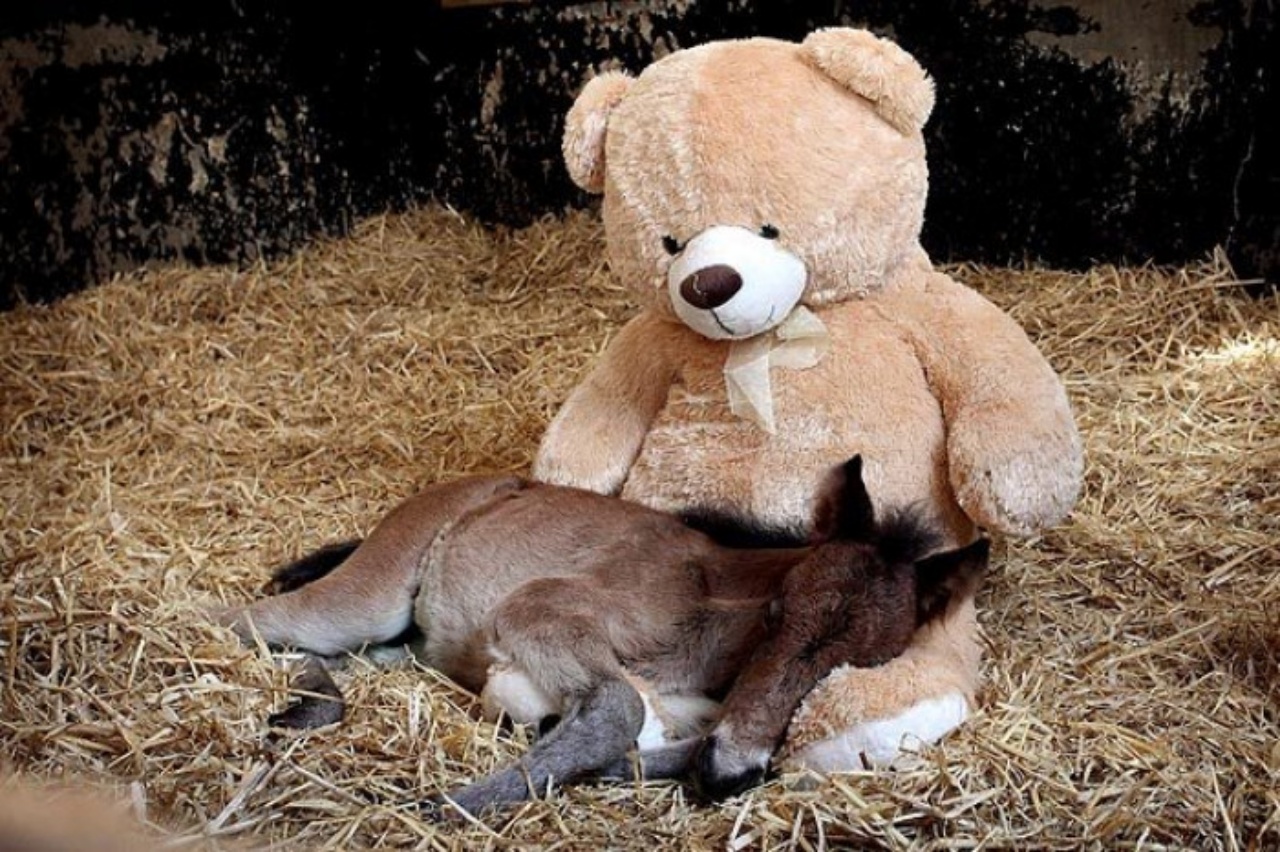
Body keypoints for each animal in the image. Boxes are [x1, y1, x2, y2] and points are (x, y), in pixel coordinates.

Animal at [217, 455, 988, 813]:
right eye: (775, 614)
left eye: (863, 662)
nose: (730, 775)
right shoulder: (545, 607)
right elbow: (619, 705)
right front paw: (447, 805)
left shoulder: (700, 717)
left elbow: (668, 738)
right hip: (369, 598)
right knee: (238, 620)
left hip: (396, 644)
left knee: (337, 659)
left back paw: (307, 707)